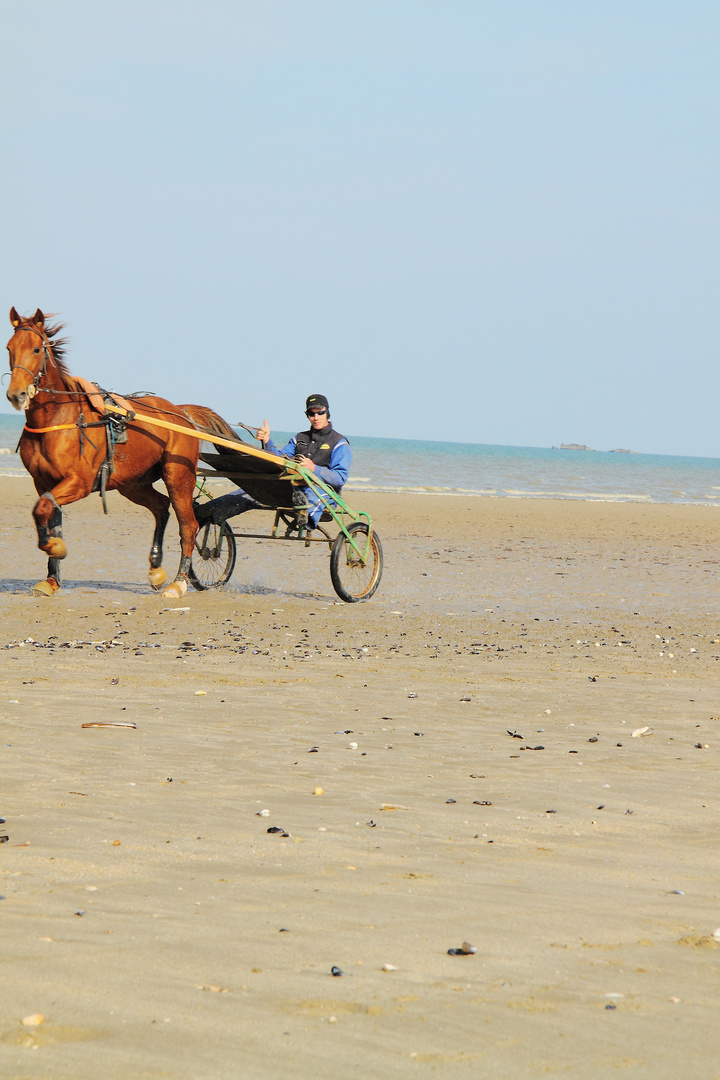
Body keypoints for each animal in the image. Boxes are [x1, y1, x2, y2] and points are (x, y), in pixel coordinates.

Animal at [4, 308, 237, 600]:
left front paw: (54, 547)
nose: (16, 394)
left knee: (189, 526)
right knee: (161, 507)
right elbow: (47, 513)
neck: (59, 417)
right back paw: (156, 569)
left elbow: (43, 508)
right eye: (9, 347)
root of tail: (180, 412)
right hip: (132, 483)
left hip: (178, 476)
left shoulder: (79, 482)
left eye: (36, 349)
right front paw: (51, 579)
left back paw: (178, 582)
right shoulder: (43, 482)